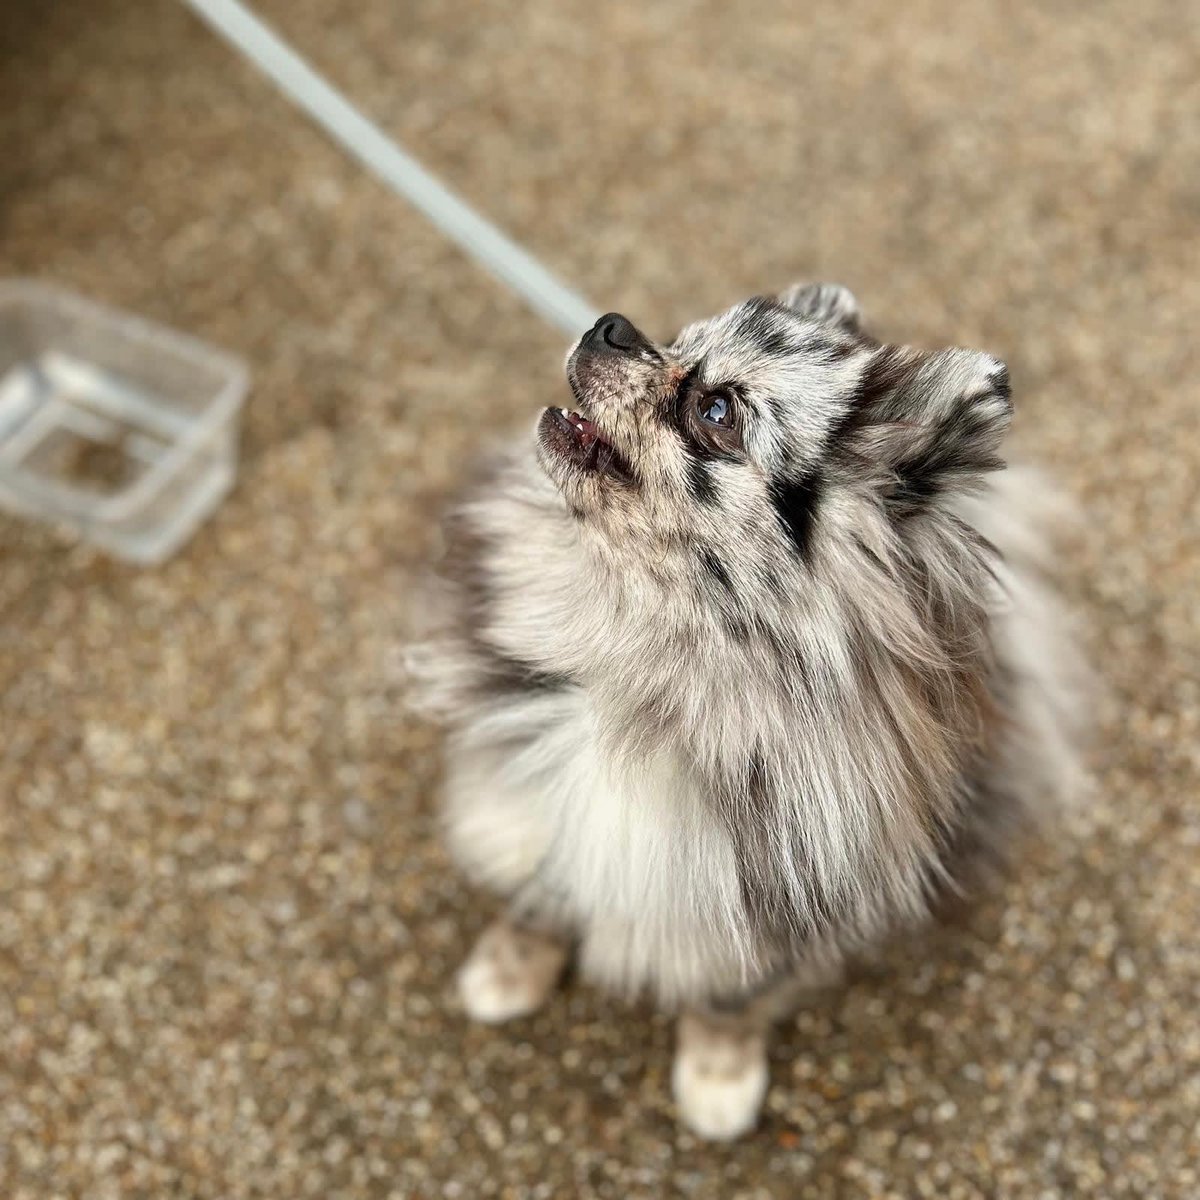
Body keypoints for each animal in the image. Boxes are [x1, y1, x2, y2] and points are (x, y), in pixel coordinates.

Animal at [405, 285, 1089, 1137]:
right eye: (675, 338)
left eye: (717, 410)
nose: (611, 327)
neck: (643, 670)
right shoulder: (543, 803)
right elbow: (542, 892)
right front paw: (509, 967)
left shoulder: (768, 893)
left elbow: (731, 995)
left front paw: (718, 1076)